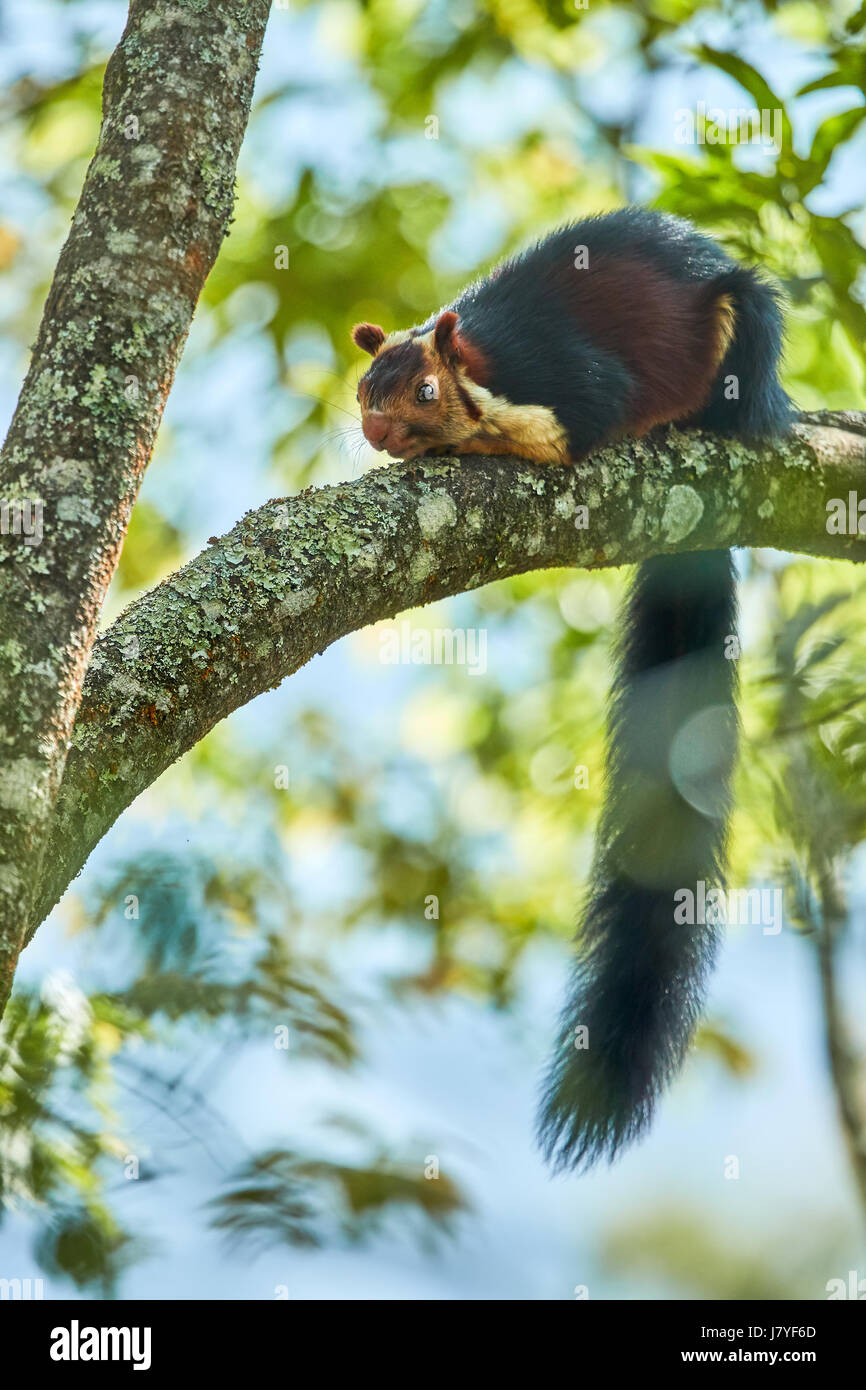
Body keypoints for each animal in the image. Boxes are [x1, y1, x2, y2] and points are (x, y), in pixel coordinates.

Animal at [350, 205, 795, 1167]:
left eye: (424, 393)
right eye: (364, 387)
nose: (374, 434)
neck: (484, 366)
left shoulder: (569, 384)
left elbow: (567, 428)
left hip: (739, 332)